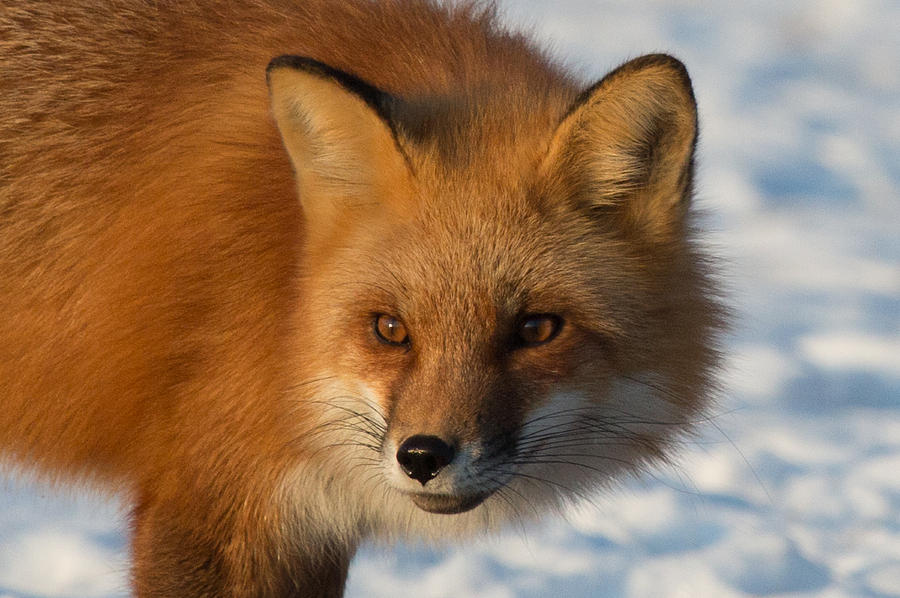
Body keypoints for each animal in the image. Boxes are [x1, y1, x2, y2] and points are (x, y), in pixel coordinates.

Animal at [0, 1, 716, 598]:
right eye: (390, 328)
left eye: (537, 329)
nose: (423, 457)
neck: (287, 315)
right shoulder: (215, 503)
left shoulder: (305, 530)